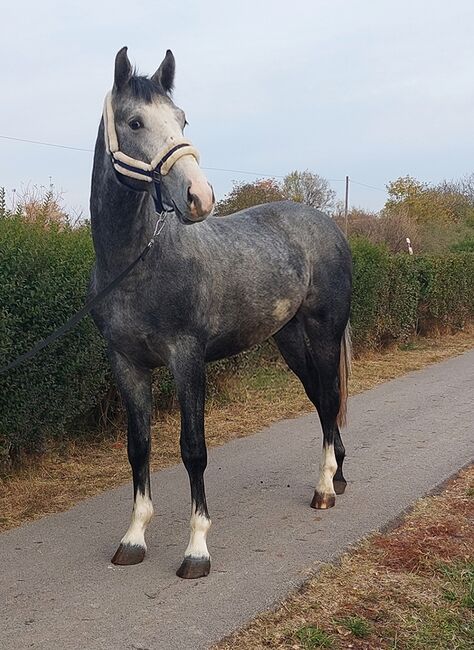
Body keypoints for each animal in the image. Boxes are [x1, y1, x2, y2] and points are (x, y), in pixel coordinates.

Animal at [90, 48, 352, 580]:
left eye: (182, 119)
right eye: (135, 121)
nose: (199, 196)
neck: (138, 262)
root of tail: (327, 225)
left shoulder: (186, 359)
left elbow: (193, 449)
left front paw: (197, 549)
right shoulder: (126, 365)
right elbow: (138, 447)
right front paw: (133, 538)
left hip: (323, 333)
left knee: (330, 399)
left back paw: (323, 488)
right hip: (289, 340)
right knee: (321, 401)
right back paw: (337, 475)